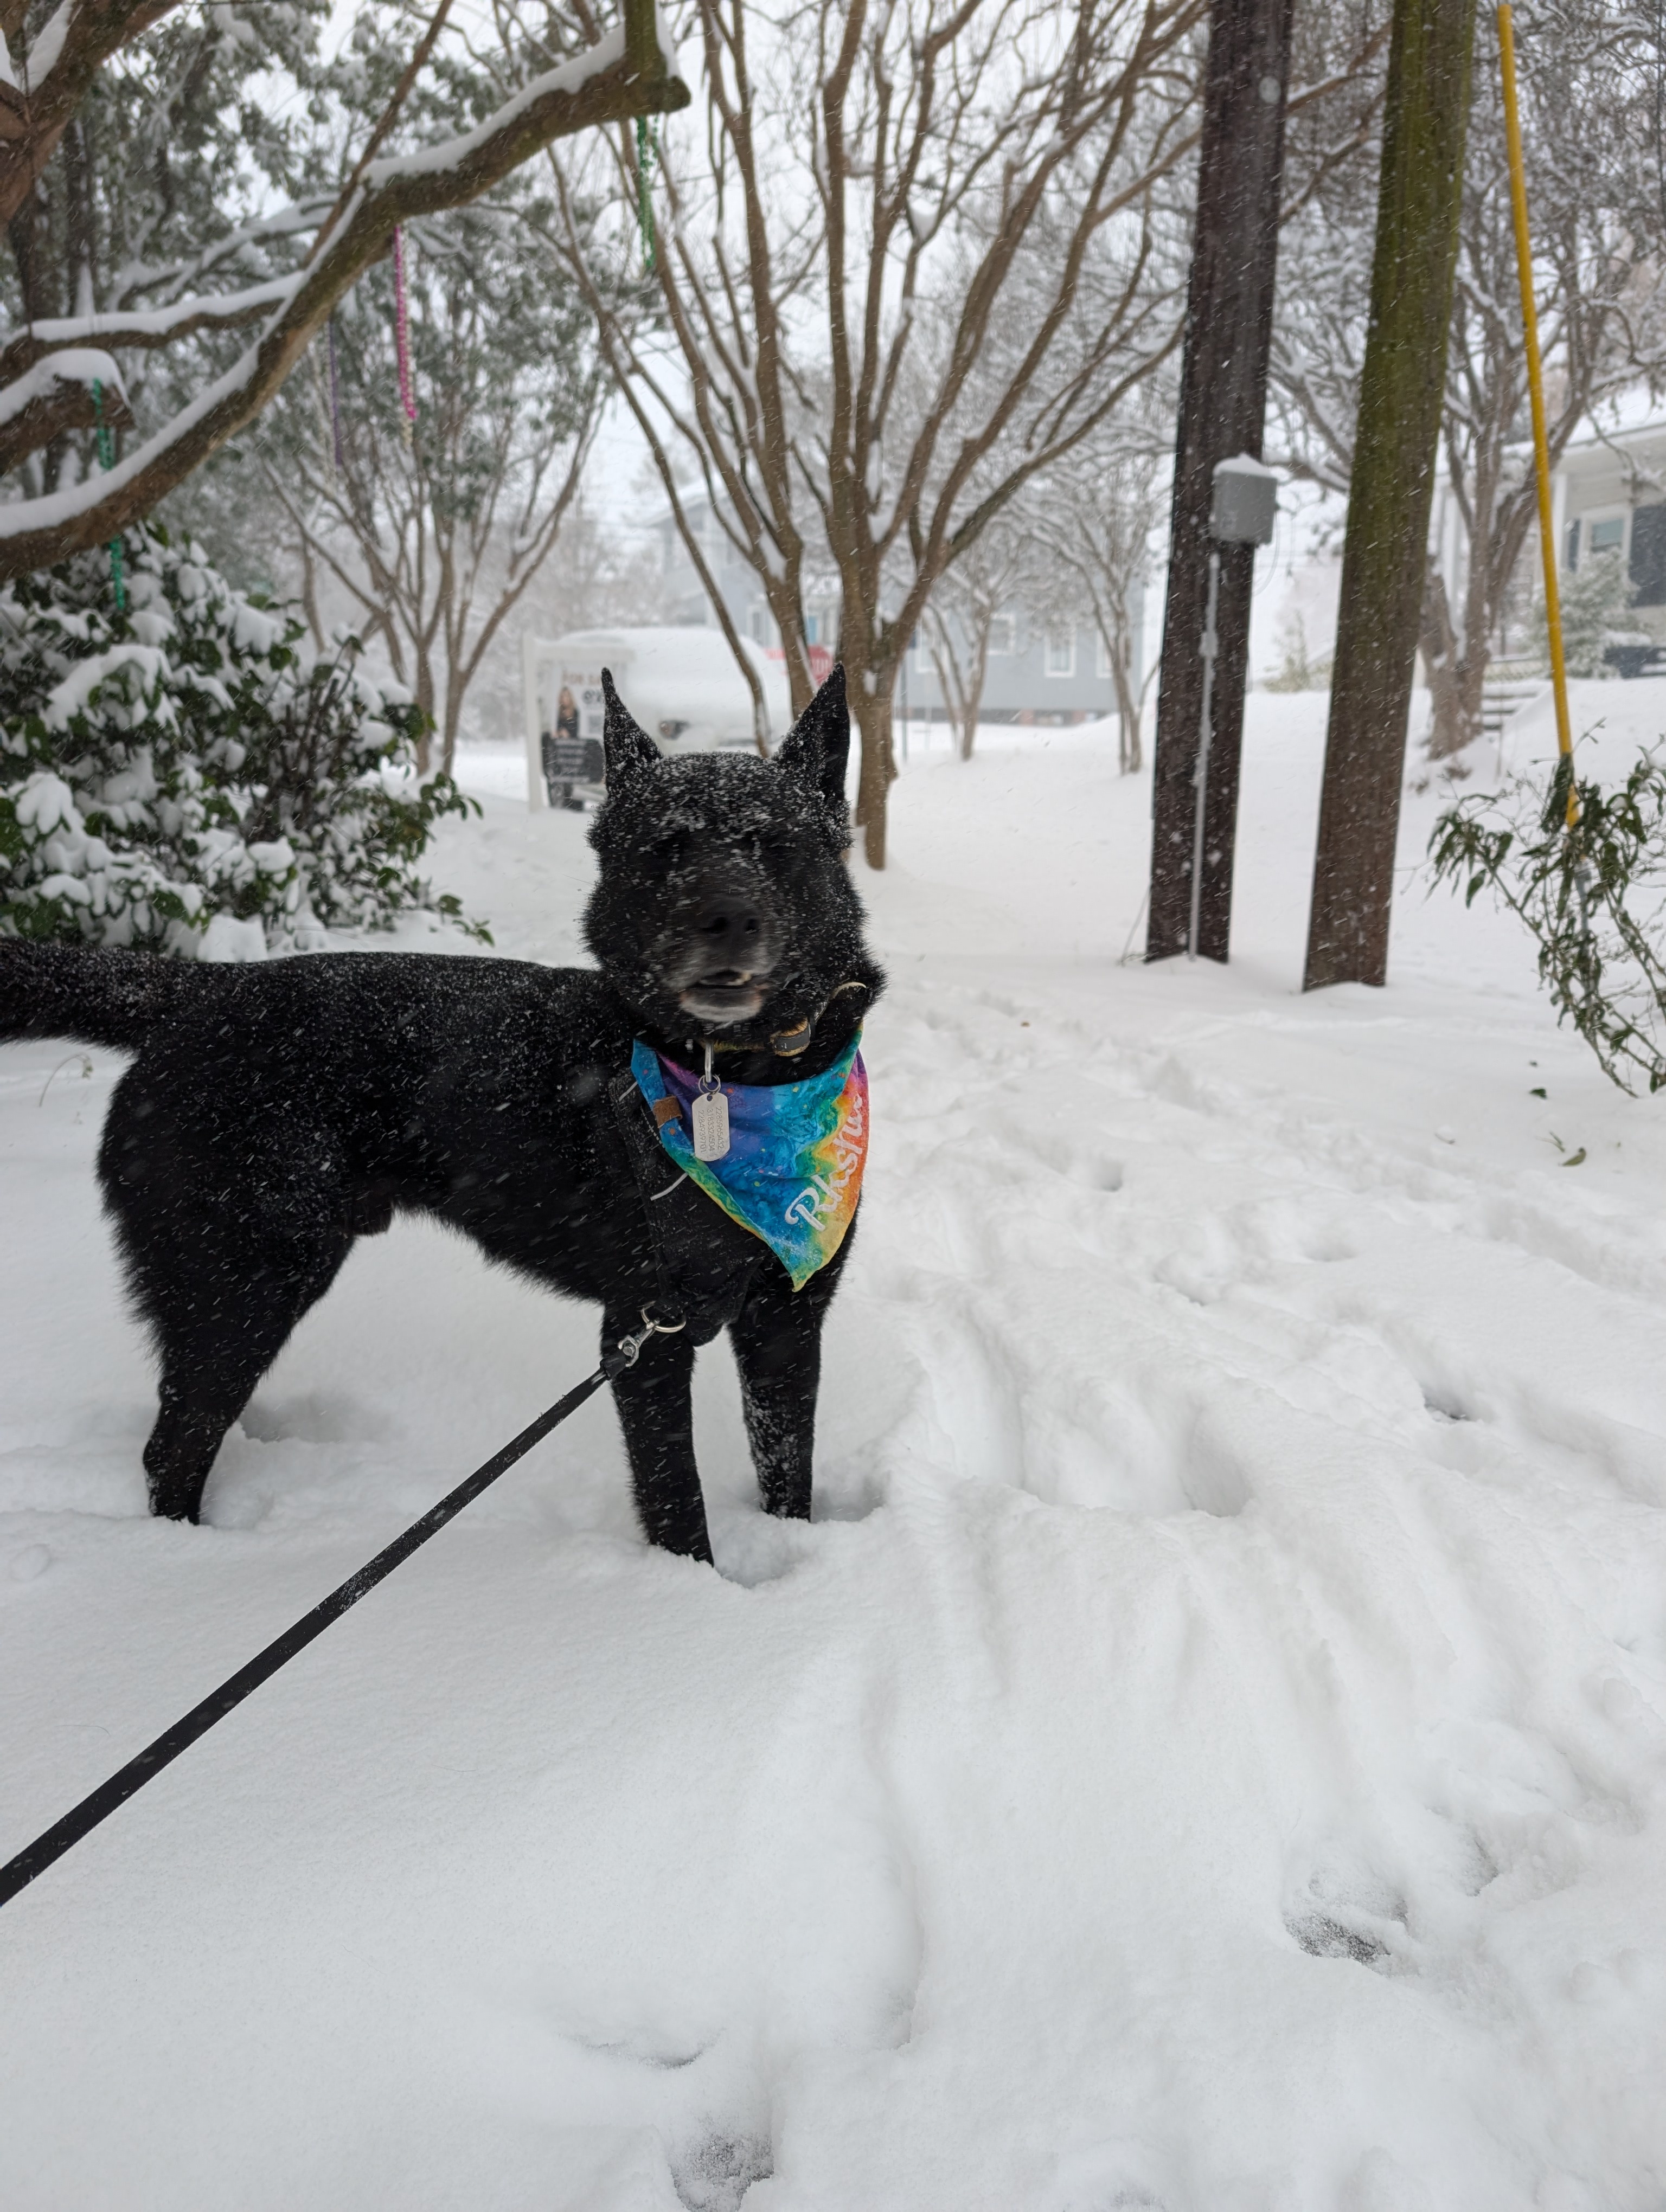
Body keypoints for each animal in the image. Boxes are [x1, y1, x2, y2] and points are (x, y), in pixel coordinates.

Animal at [0, 664, 885, 1566]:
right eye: (665, 848)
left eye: (771, 844)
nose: (727, 919)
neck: (734, 1078)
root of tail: (199, 990)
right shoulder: (643, 1336)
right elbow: (679, 1504)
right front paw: (695, 1591)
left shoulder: (787, 1321)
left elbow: (787, 1467)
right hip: (242, 1284)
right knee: (173, 1444)